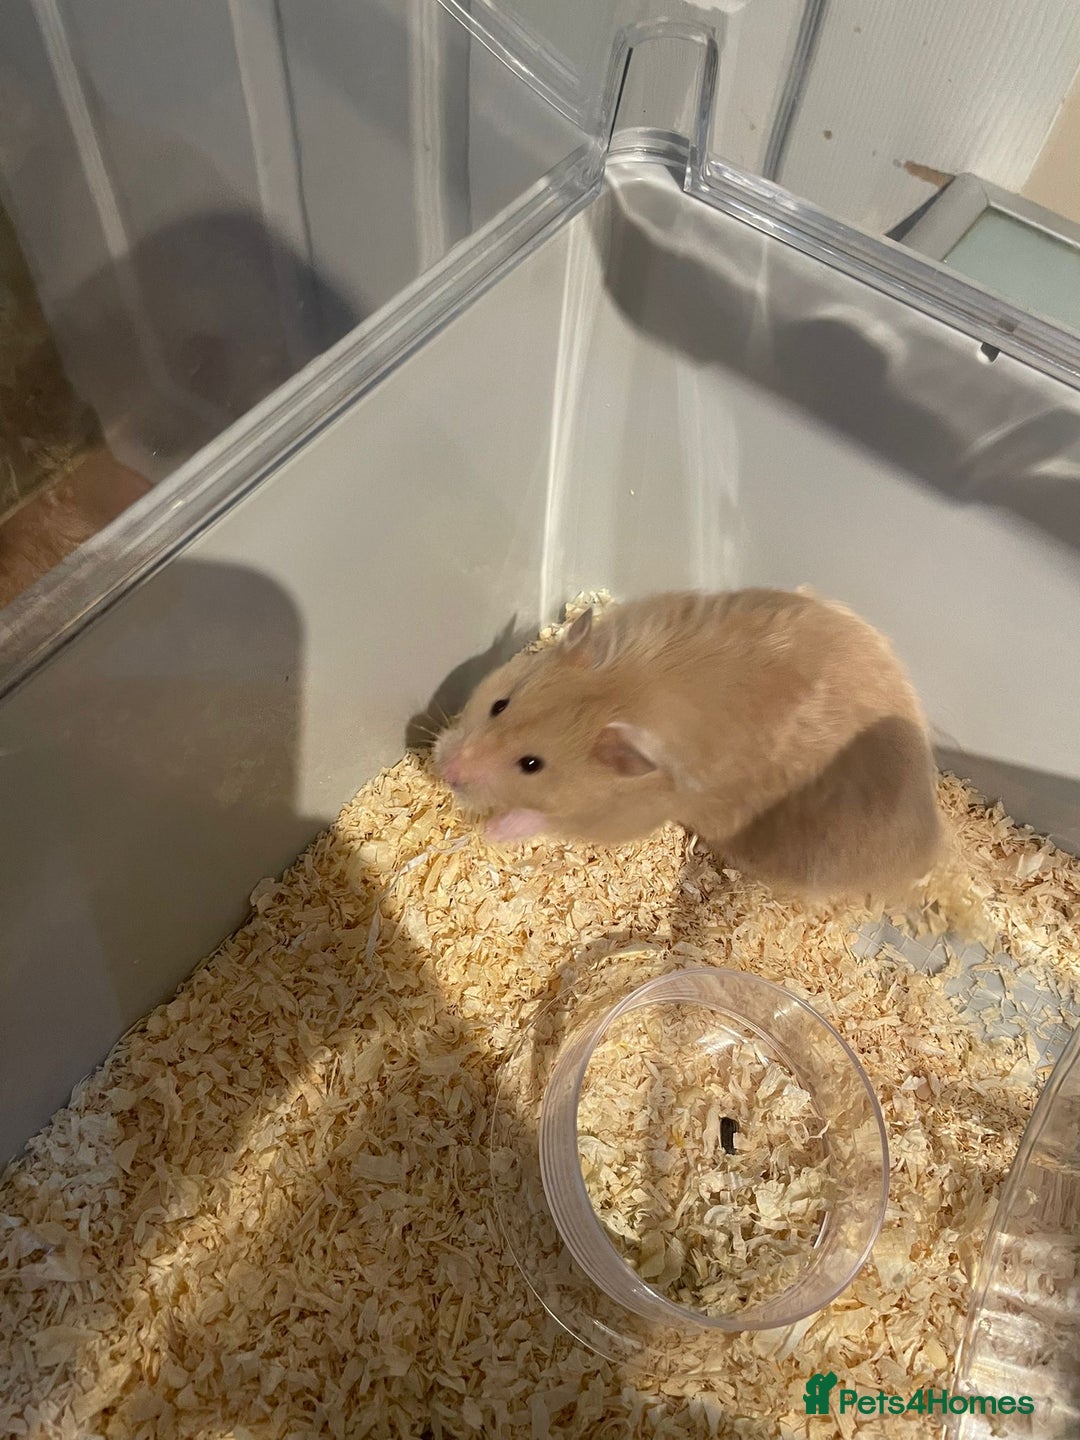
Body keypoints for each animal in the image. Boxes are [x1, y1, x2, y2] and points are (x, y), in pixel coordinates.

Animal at [433, 589, 943, 901]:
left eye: (531, 764)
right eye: (499, 704)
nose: (447, 772)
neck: (625, 691)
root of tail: (930, 849)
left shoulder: (633, 812)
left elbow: (550, 819)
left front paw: (495, 829)